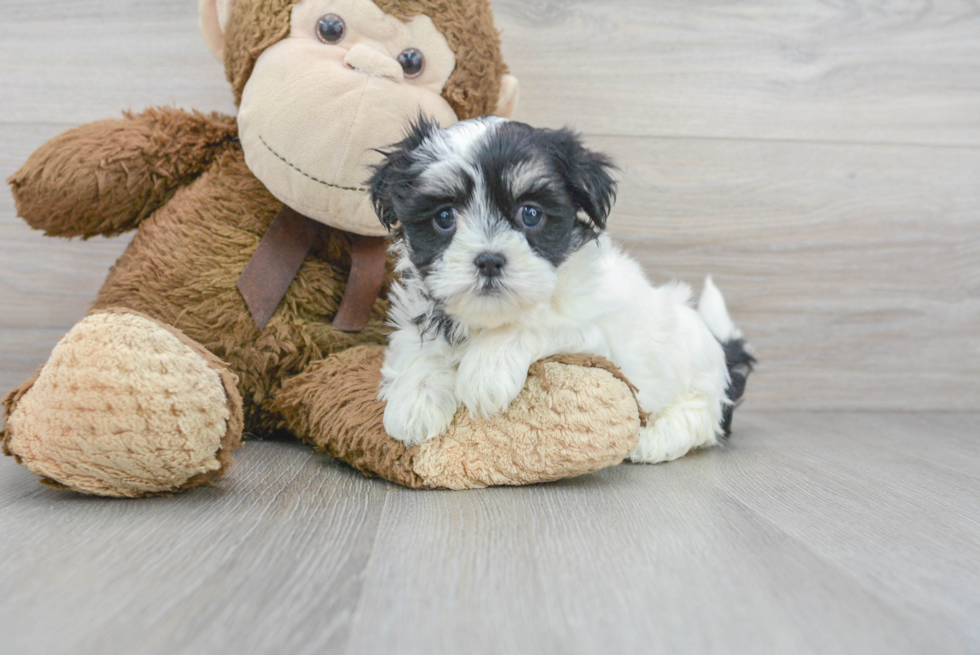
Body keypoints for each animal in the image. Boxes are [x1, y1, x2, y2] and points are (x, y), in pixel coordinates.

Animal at [364, 119, 756, 466]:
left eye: (531, 214)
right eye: (444, 217)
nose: (489, 260)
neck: (490, 319)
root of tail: (723, 351)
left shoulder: (594, 331)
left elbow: (537, 322)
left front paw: (485, 372)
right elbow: (419, 346)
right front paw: (415, 400)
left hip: (698, 380)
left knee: (700, 418)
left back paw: (654, 439)